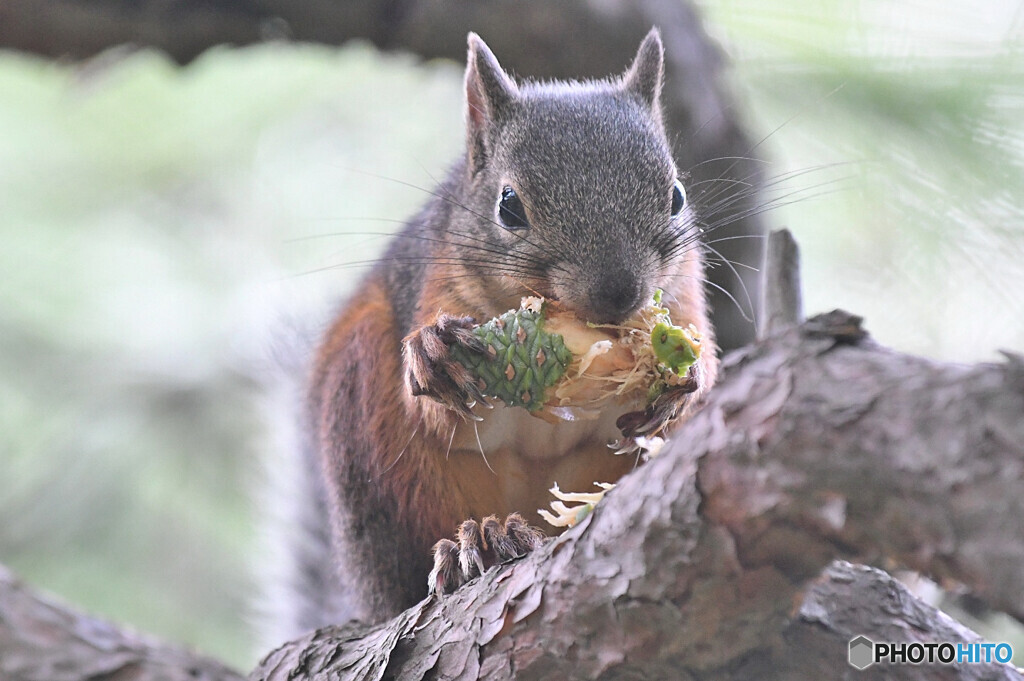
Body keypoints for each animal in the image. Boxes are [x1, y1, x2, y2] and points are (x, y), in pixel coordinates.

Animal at [260, 26, 716, 643]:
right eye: (509, 206)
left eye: (676, 197)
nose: (618, 294)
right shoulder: (432, 286)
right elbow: (446, 416)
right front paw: (432, 355)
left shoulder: (687, 293)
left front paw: (680, 383)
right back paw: (473, 546)